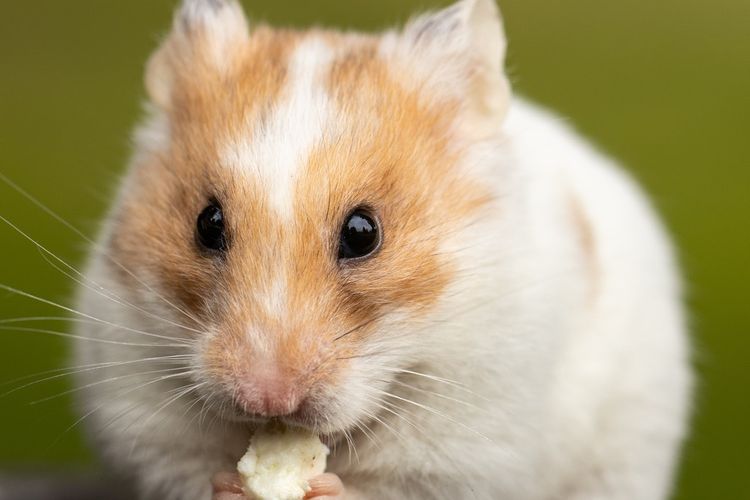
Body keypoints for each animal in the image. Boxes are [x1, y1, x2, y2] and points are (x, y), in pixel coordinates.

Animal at [72, 0, 692, 499]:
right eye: (207, 223)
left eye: (363, 233)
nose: (267, 399)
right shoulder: (142, 417)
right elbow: (188, 471)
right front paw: (233, 482)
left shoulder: (466, 451)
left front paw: (320, 486)